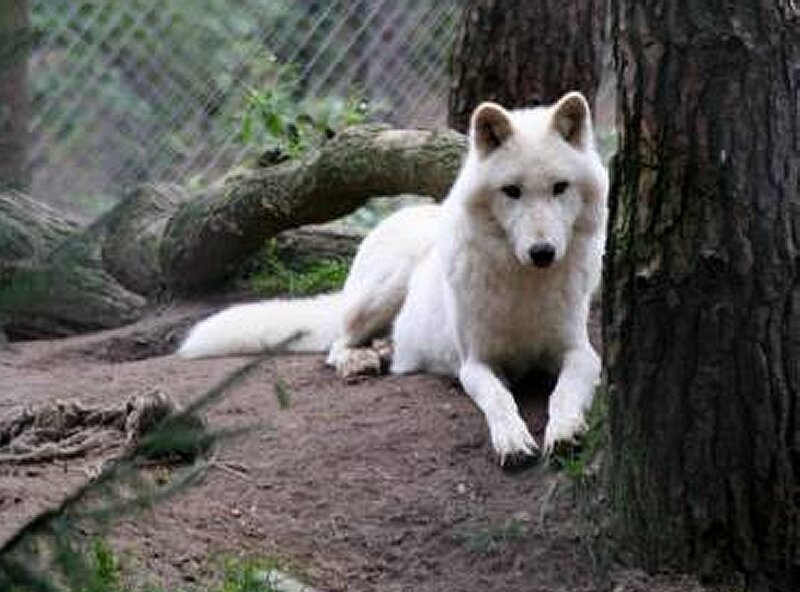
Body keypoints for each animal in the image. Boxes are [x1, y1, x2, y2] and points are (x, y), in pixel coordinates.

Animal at [179, 91, 609, 466]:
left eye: (560, 187)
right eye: (512, 191)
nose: (543, 253)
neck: (526, 287)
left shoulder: (580, 352)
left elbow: (564, 393)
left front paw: (565, 431)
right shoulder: (475, 364)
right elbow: (499, 400)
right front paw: (512, 440)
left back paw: (386, 350)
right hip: (379, 294)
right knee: (336, 345)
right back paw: (362, 360)